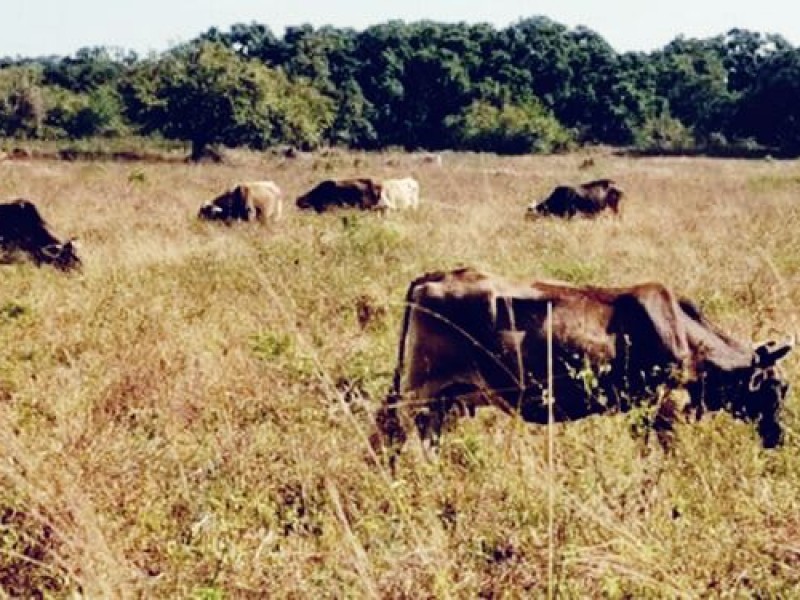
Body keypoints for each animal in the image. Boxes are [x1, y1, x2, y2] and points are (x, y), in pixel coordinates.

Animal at [376, 264, 792, 458]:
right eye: (778, 387)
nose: (779, 436)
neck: (685, 334)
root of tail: (434, 276)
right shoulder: (661, 404)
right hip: (422, 387)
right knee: (392, 425)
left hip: (444, 397)